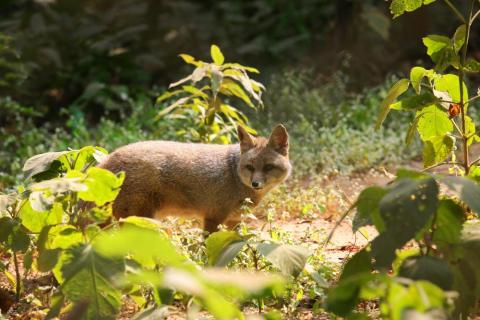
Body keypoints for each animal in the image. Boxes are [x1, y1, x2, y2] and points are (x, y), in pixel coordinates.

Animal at [99, 124, 290, 231]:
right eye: (250, 167)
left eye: (268, 167)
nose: (255, 183)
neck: (234, 175)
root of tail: (106, 161)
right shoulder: (213, 219)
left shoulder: (234, 221)